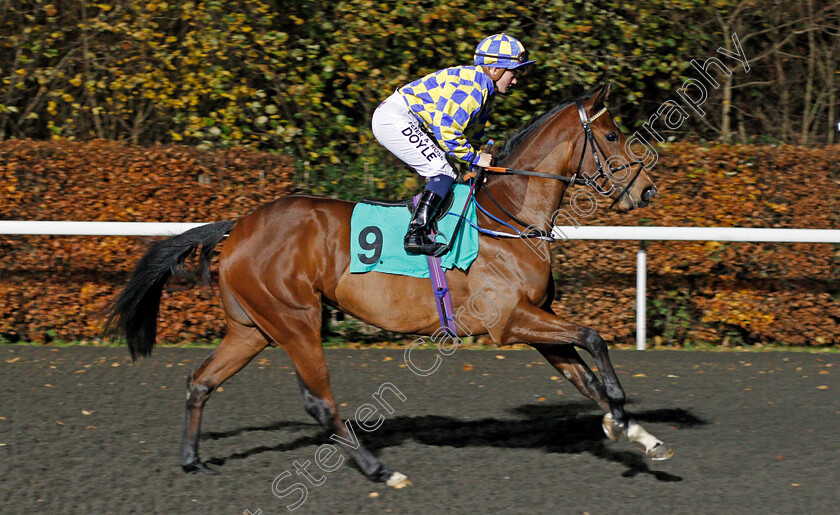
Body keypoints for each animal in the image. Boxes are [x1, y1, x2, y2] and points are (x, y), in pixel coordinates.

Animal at [106, 82, 668, 490]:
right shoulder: (510, 322)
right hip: (296, 320)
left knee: (201, 380)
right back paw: (380, 469)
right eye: (612, 136)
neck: (507, 217)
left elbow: (586, 375)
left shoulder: (534, 321)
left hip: (252, 328)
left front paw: (637, 433)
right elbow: (595, 338)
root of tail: (239, 225)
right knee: (319, 402)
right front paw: (622, 411)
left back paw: (192, 459)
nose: (646, 190)